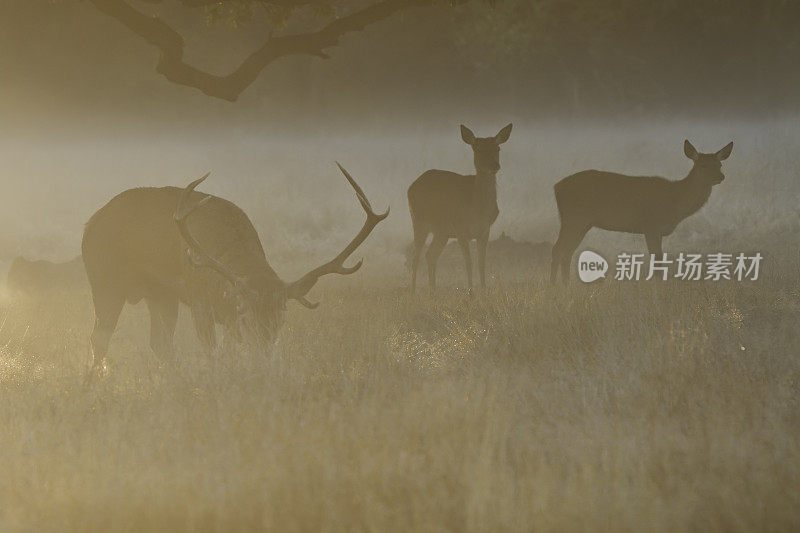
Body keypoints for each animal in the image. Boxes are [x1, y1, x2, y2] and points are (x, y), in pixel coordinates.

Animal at [81, 163, 388, 378]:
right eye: (247, 316)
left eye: (282, 317)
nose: (265, 359)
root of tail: (90, 221)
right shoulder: (199, 298)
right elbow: (212, 350)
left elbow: (228, 352)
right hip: (104, 278)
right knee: (99, 337)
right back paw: (92, 385)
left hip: (161, 293)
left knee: (160, 343)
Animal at [406, 122, 512, 290]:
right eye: (477, 149)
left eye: (498, 148)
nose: (494, 165)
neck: (477, 208)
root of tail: (411, 186)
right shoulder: (460, 228)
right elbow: (468, 262)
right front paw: (471, 292)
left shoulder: (485, 230)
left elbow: (481, 263)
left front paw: (483, 290)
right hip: (418, 220)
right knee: (415, 256)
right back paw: (414, 291)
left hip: (441, 232)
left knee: (430, 255)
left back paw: (433, 290)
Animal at [552, 141, 732, 282]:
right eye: (703, 165)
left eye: (719, 164)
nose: (720, 177)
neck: (675, 201)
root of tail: (557, 187)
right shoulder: (651, 226)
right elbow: (657, 261)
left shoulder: (657, 230)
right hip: (574, 218)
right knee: (558, 249)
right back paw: (554, 287)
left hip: (583, 223)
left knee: (567, 252)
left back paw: (566, 286)